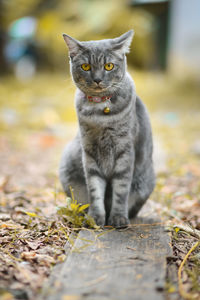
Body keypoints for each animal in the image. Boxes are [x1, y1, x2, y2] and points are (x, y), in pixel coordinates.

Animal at [58, 30, 155, 227]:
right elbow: (95, 190)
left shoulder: (125, 151)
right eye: (86, 66)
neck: (100, 113)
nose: (97, 79)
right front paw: (95, 218)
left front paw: (118, 217)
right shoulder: (89, 153)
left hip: (144, 184)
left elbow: (121, 190)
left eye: (109, 66)